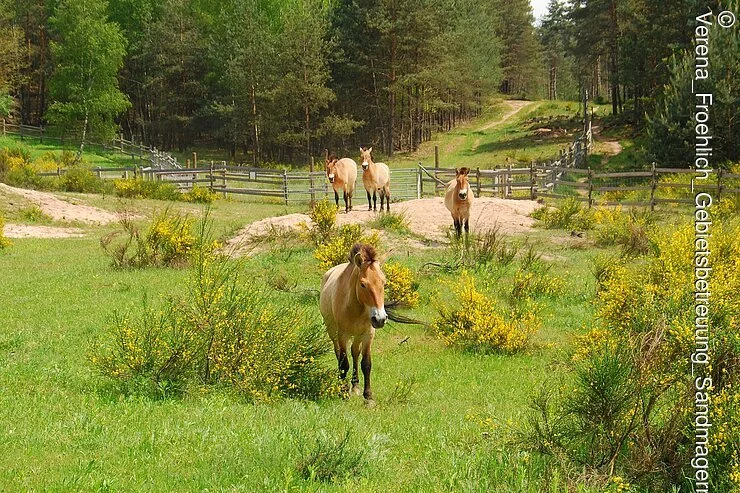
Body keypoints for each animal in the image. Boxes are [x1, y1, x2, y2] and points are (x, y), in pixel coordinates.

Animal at [319, 243, 387, 403]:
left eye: (384, 282)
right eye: (363, 284)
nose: (380, 319)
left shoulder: (368, 335)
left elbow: (366, 363)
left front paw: (368, 397)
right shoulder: (342, 335)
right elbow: (344, 363)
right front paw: (343, 392)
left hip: (357, 336)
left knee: (355, 353)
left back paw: (355, 385)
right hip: (333, 332)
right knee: (339, 355)